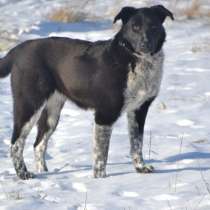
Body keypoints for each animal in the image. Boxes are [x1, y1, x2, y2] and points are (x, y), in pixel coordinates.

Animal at [0, 4, 174, 179]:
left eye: (153, 26)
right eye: (135, 27)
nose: (145, 44)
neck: (135, 59)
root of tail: (18, 49)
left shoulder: (139, 110)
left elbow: (137, 143)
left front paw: (140, 168)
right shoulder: (105, 114)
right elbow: (101, 153)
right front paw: (100, 179)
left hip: (52, 113)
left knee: (39, 144)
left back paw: (44, 172)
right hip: (29, 105)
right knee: (16, 143)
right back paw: (23, 174)